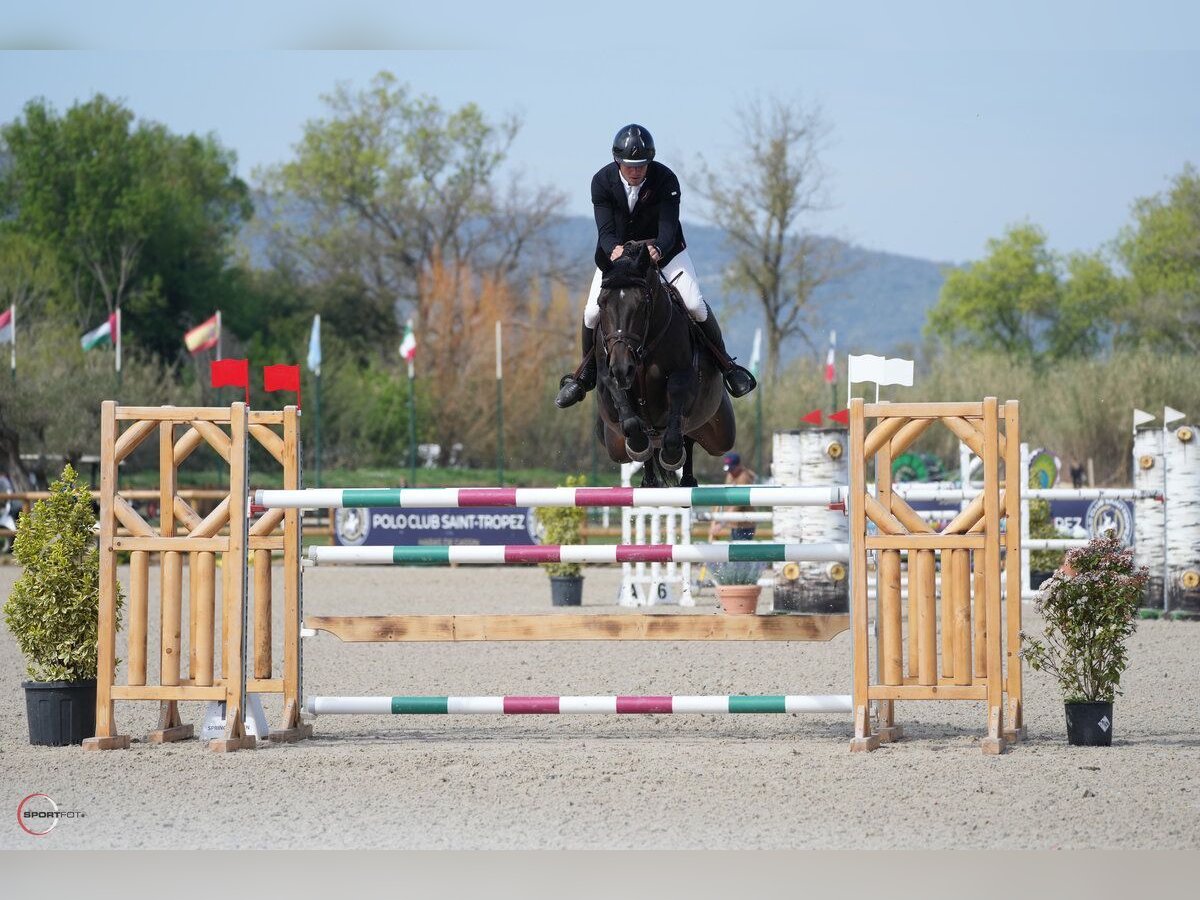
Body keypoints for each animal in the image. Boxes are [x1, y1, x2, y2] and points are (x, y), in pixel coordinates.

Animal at [588, 241, 729, 487]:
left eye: (642, 304)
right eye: (601, 303)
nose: (623, 368)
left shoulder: (682, 376)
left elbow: (676, 401)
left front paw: (672, 455)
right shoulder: (609, 375)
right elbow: (628, 415)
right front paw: (638, 445)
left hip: (720, 435)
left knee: (690, 438)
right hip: (614, 444)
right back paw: (650, 480)